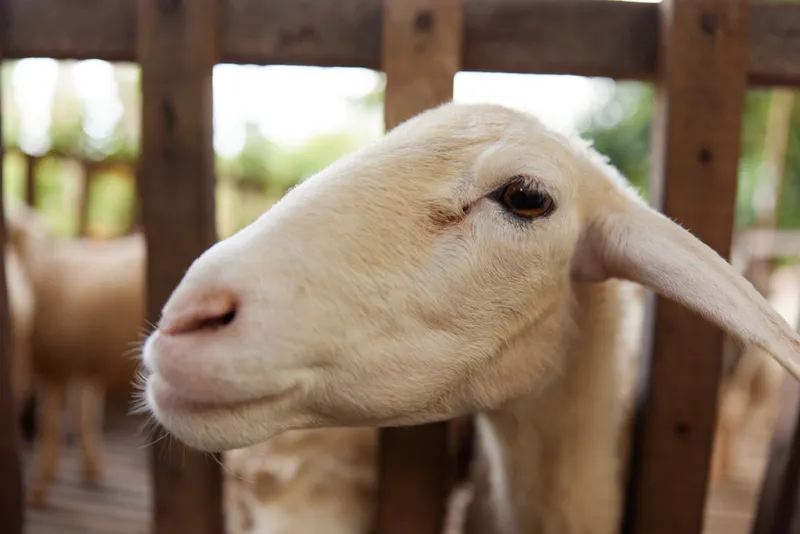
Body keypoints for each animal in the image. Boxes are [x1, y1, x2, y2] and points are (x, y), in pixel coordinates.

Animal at [5, 202, 145, 507]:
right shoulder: (80, 364)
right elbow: (85, 412)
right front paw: (89, 470)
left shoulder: (55, 366)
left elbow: (50, 424)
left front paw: (38, 489)